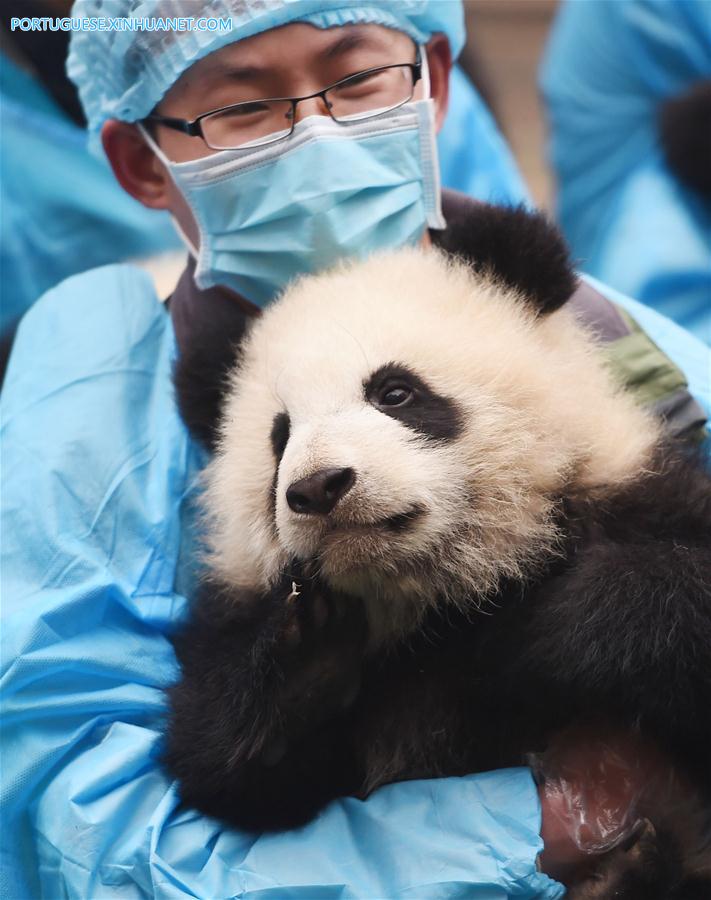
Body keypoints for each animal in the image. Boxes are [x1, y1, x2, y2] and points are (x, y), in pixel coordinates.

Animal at [167, 206, 711, 898]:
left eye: (395, 392)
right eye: (279, 436)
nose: (319, 486)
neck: (439, 593)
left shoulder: (638, 497)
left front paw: (549, 623)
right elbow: (235, 776)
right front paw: (308, 658)